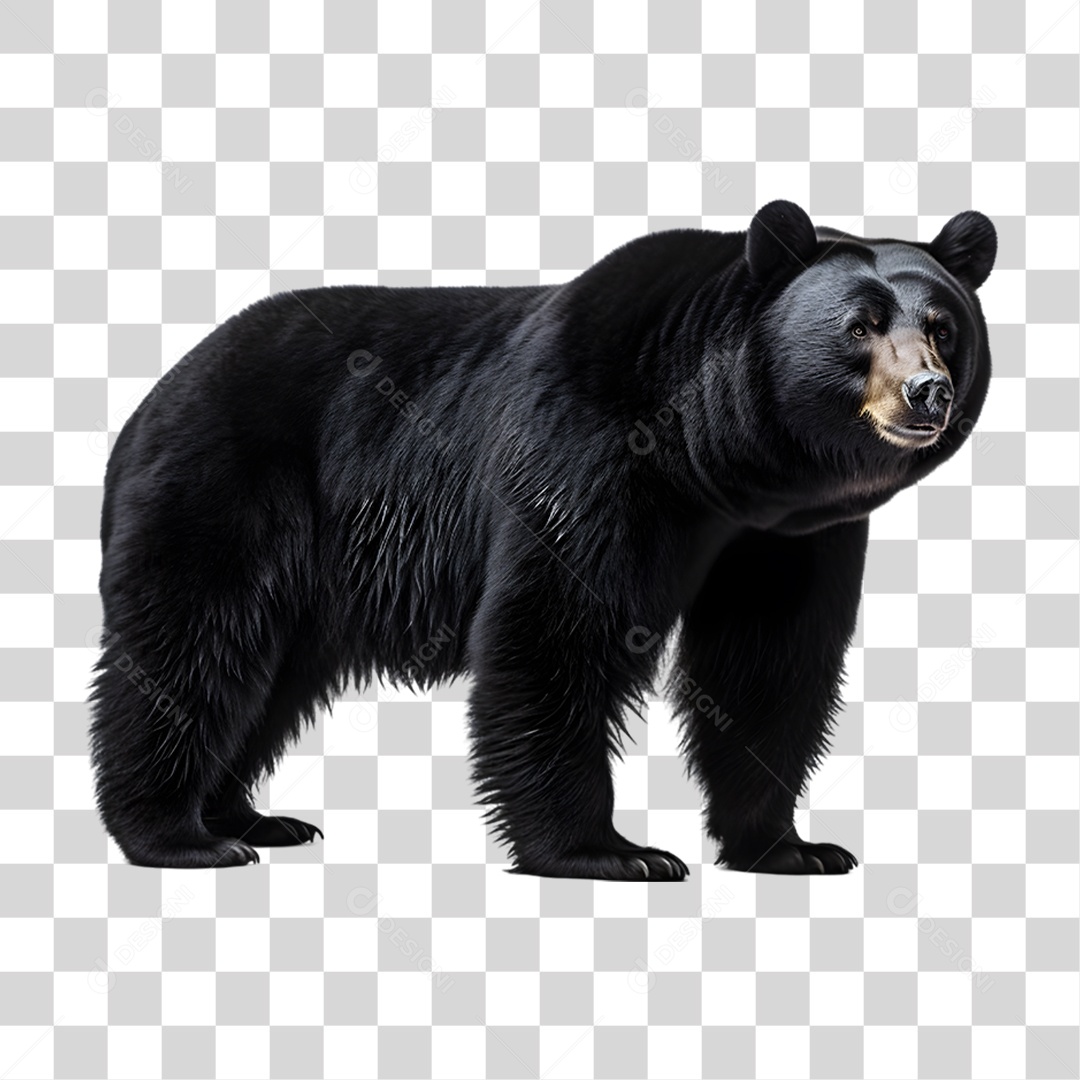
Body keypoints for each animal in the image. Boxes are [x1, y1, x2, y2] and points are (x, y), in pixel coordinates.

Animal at [89, 200, 996, 877]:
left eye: (944, 325)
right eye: (859, 326)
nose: (928, 392)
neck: (718, 465)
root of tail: (147, 403)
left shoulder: (787, 537)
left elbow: (769, 661)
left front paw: (787, 845)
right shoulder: (588, 453)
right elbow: (556, 628)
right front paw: (610, 852)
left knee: (267, 677)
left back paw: (247, 816)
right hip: (225, 489)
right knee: (196, 643)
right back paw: (180, 835)